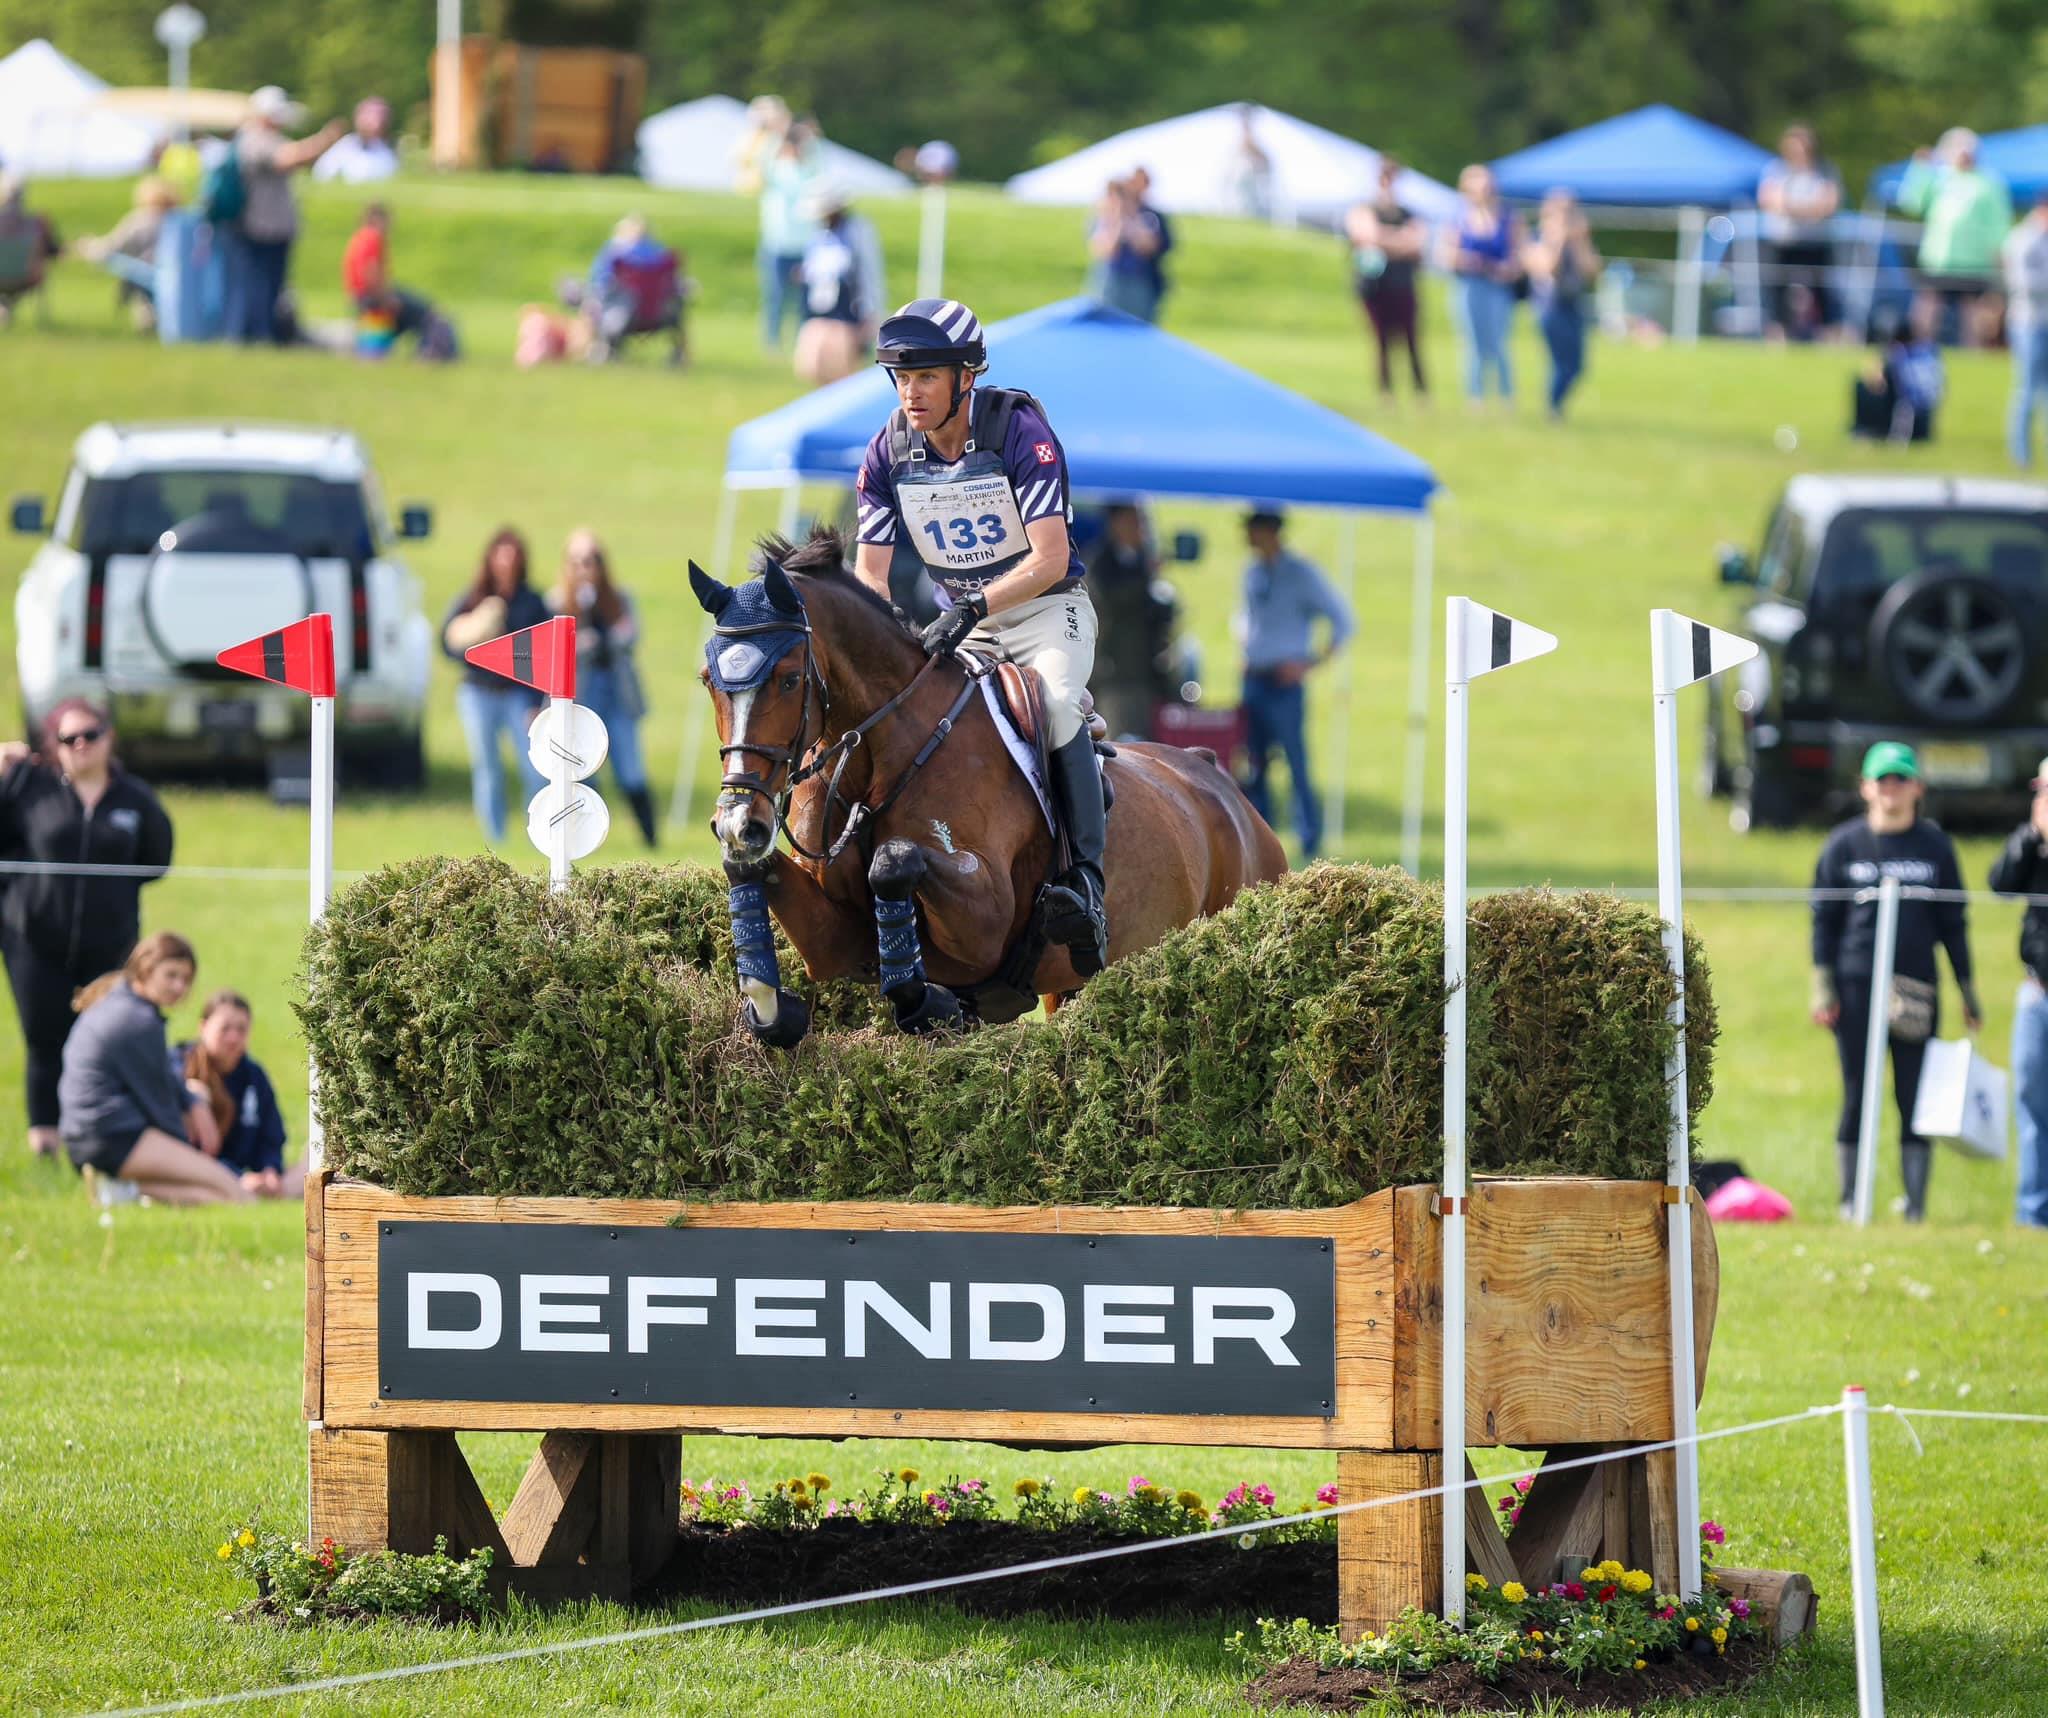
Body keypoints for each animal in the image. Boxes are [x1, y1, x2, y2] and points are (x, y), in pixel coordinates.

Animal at [696, 528, 1286, 1048]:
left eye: (789, 679)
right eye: (708, 681)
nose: (740, 823)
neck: (874, 759)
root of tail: (1218, 780)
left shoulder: (985, 921)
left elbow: (895, 860)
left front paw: (926, 1001)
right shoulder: (837, 940)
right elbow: (749, 873)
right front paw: (772, 1010)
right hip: (1070, 985)